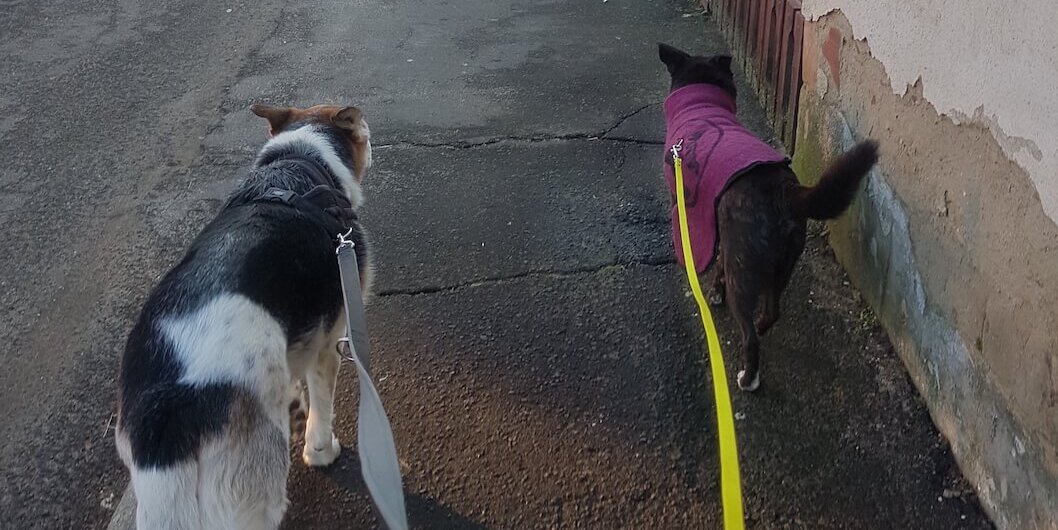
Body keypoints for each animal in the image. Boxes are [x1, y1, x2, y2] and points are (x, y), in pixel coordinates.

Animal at [115, 103, 373, 529]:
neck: (301, 161)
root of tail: (169, 410)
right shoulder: (329, 340)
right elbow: (322, 407)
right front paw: (321, 451)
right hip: (250, 495)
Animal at [658, 43, 878, 392]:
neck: (703, 105)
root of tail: (783, 190)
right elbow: (718, 263)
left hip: (745, 266)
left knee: (749, 335)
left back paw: (748, 377)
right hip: (781, 264)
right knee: (772, 310)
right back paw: (762, 328)